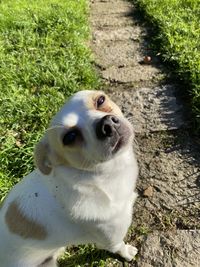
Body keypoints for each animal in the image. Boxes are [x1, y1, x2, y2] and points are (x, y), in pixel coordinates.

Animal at [0, 91, 138, 266]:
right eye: (70, 137)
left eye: (101, 100)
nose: (107, 125)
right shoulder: (111, 240)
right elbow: (120, 247)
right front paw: (128, 253)